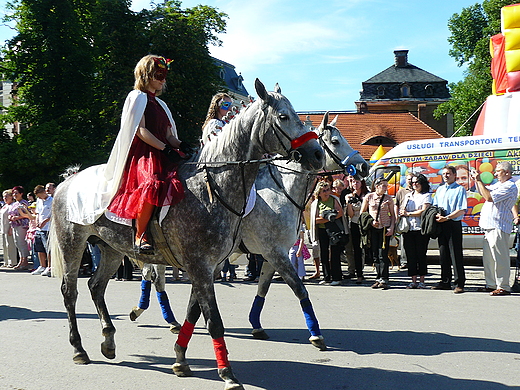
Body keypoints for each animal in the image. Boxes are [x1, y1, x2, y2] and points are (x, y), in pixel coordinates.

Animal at [49, 79, 324, 390]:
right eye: (284, 117)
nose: (317, 154)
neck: (213, 187)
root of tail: (68, 180)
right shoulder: (207, 263)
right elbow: (214, 320)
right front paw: (227, 373)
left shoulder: (210, 265)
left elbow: (195, 311)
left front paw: (180, 358)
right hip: (72, 243)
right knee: (70, 292)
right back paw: (79, 348)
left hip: (111, 248)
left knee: (96, 286)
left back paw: (108, 340)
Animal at [233, 112, 370, 342]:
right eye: (335, 141)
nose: (364, 167)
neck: (281, 192)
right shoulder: (274, 252)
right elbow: (300, 289)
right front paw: (315, 334)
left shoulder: (272, 254)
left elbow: (263, 288)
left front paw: (256, 325)